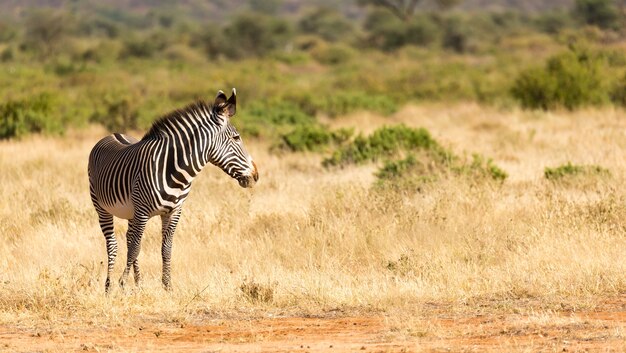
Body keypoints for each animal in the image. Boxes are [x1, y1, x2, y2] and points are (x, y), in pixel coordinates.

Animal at [86, 88, 258, 292]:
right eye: (236, 138)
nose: (255, 175)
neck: (174, 170)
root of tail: (113, 134)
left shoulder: (174, 211)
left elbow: (166, 248)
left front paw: (167, 286)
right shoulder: (142, 211)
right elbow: (136, 247)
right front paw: (122, 283)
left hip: (131, 212)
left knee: (128, 238)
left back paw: (138, 283)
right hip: (101, 206)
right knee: (113, 244)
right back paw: (109, 285)